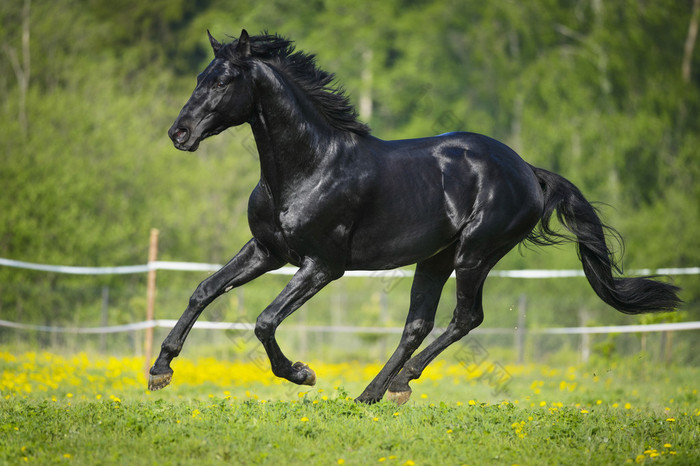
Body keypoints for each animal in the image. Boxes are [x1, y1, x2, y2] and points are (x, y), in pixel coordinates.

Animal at [148, 30, 680, 404]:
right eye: (198, 79)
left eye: (223, 81)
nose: (179, 133)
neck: (310, 166)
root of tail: (528, 170)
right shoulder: (267, 251)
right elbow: (203, 291)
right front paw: (160, 371)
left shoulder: (322, 266)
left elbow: (264, 320)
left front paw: (301, 373)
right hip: (435, 258)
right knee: (417, 325)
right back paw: (375, 392)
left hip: (474, 254)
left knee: (465, 317)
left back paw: (395, 384)